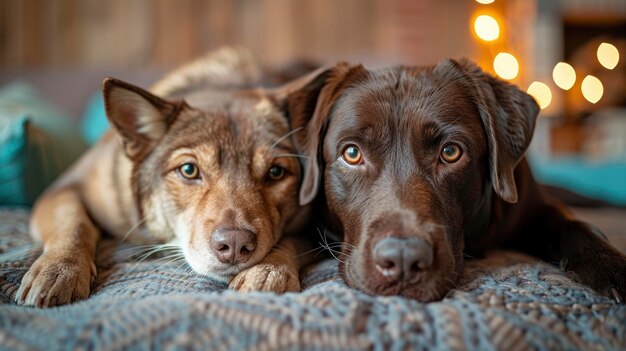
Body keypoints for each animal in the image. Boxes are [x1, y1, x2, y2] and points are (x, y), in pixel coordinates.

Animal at [14, 48, 314, 306]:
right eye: (189, 170)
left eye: (275, 172)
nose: (235, 244)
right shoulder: (64, 188)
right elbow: (73, 221)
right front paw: (58, 269)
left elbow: (293, 241)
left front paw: (269, 270)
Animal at [282, 59, 624, 304]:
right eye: (352, 153)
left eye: (450, 152)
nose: (403, 259)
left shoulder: (534, 206)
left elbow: (573, 224)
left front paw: (611, 266)